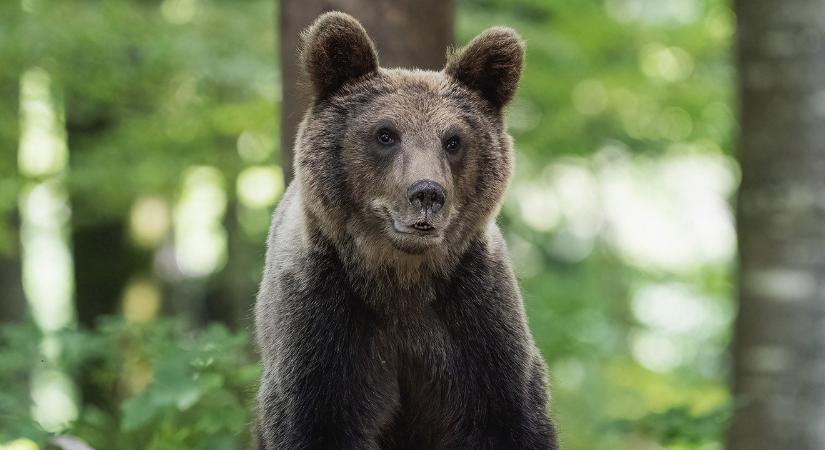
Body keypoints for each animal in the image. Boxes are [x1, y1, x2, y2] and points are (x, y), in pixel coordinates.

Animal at [254, 11, 556, 450]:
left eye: (453, 140)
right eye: (385, 134)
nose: (428, 193)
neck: (402, 279)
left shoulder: (477, 326)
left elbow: (510, 418)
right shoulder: (323, 327)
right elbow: (314, 421)